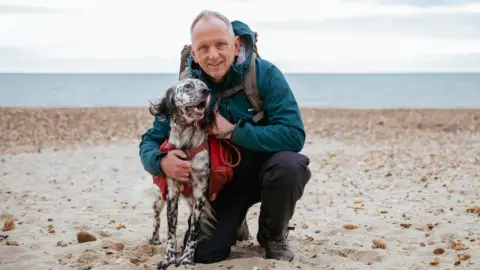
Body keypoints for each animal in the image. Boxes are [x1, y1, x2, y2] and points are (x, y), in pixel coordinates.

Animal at [149, 77, 217, 268]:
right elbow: (171, 232)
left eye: (203, 86)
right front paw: (168, 259)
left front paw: (187, 258)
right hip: (161, 196)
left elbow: (194, 230)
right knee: (156, 215)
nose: (206, 91)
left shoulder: (200, 193)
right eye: (187, 86)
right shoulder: (172, 193)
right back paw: (154, 238)